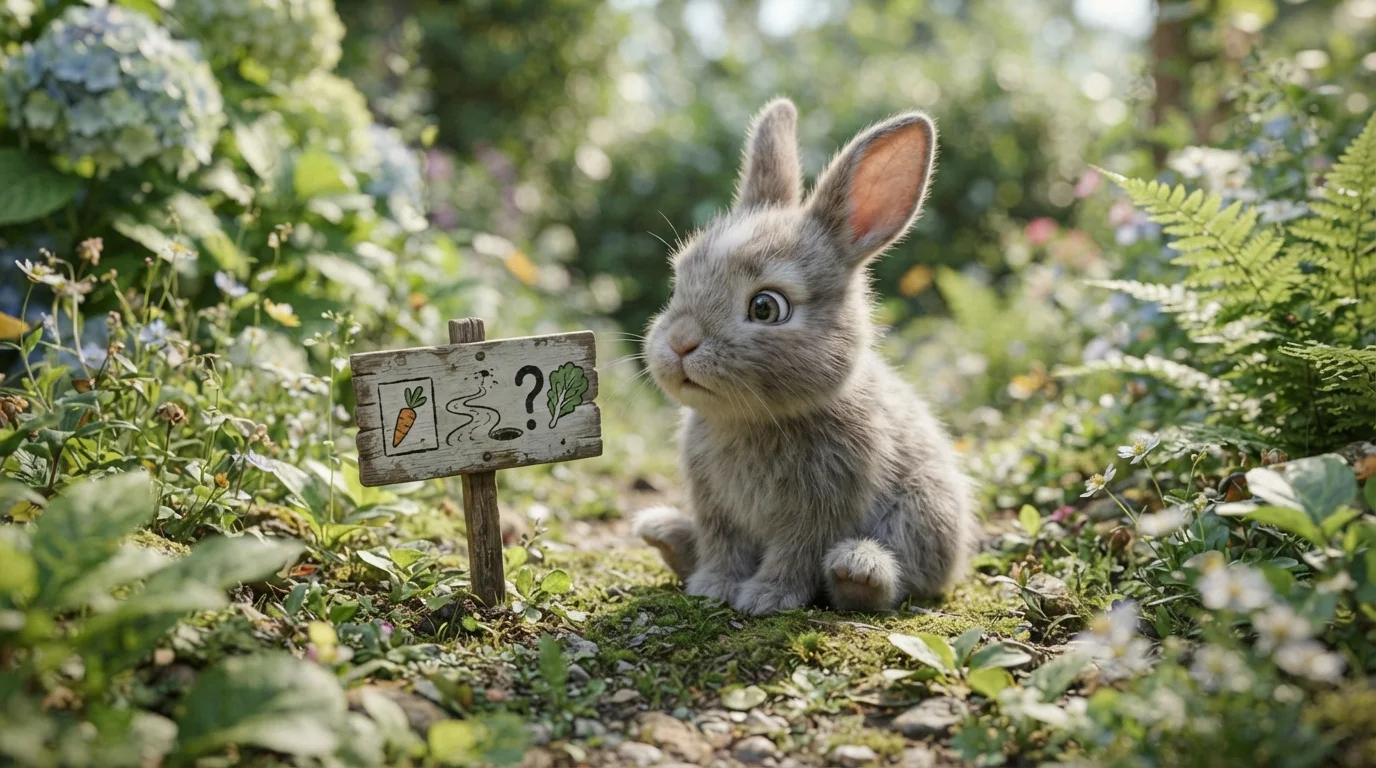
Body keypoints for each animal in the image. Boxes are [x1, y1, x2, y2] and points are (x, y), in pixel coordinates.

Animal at [632, 98, 976, 616]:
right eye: (679, 281)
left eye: (766, 307)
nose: (680, 343)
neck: (754, 420)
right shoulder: (717, 509)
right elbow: (722, 547)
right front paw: (713, 587)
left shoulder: (822, 509)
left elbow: (795, 553)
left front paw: (765, 598)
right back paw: (665, 536)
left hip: (924, 509)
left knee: (897, 581)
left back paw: (859, 571)